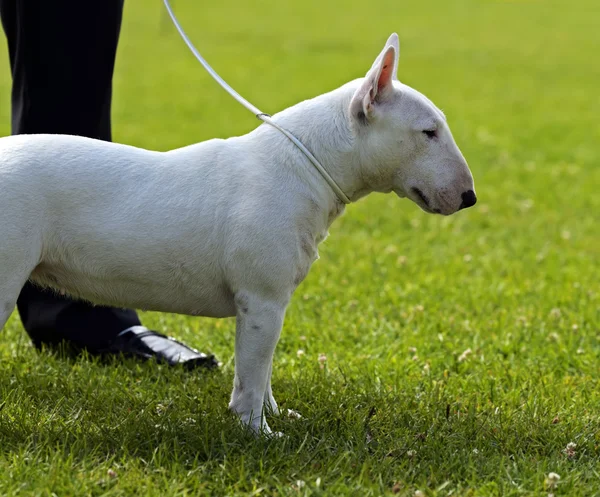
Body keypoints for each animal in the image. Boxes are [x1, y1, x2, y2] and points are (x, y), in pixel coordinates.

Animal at [1, 33, 478, 432]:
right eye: (428, 132)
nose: (470, 197)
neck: (305, 164)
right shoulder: (261, 301)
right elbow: (252, 374)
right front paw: (258, 433)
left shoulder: (271, 305)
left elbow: (263, 373)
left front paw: (276, 415)